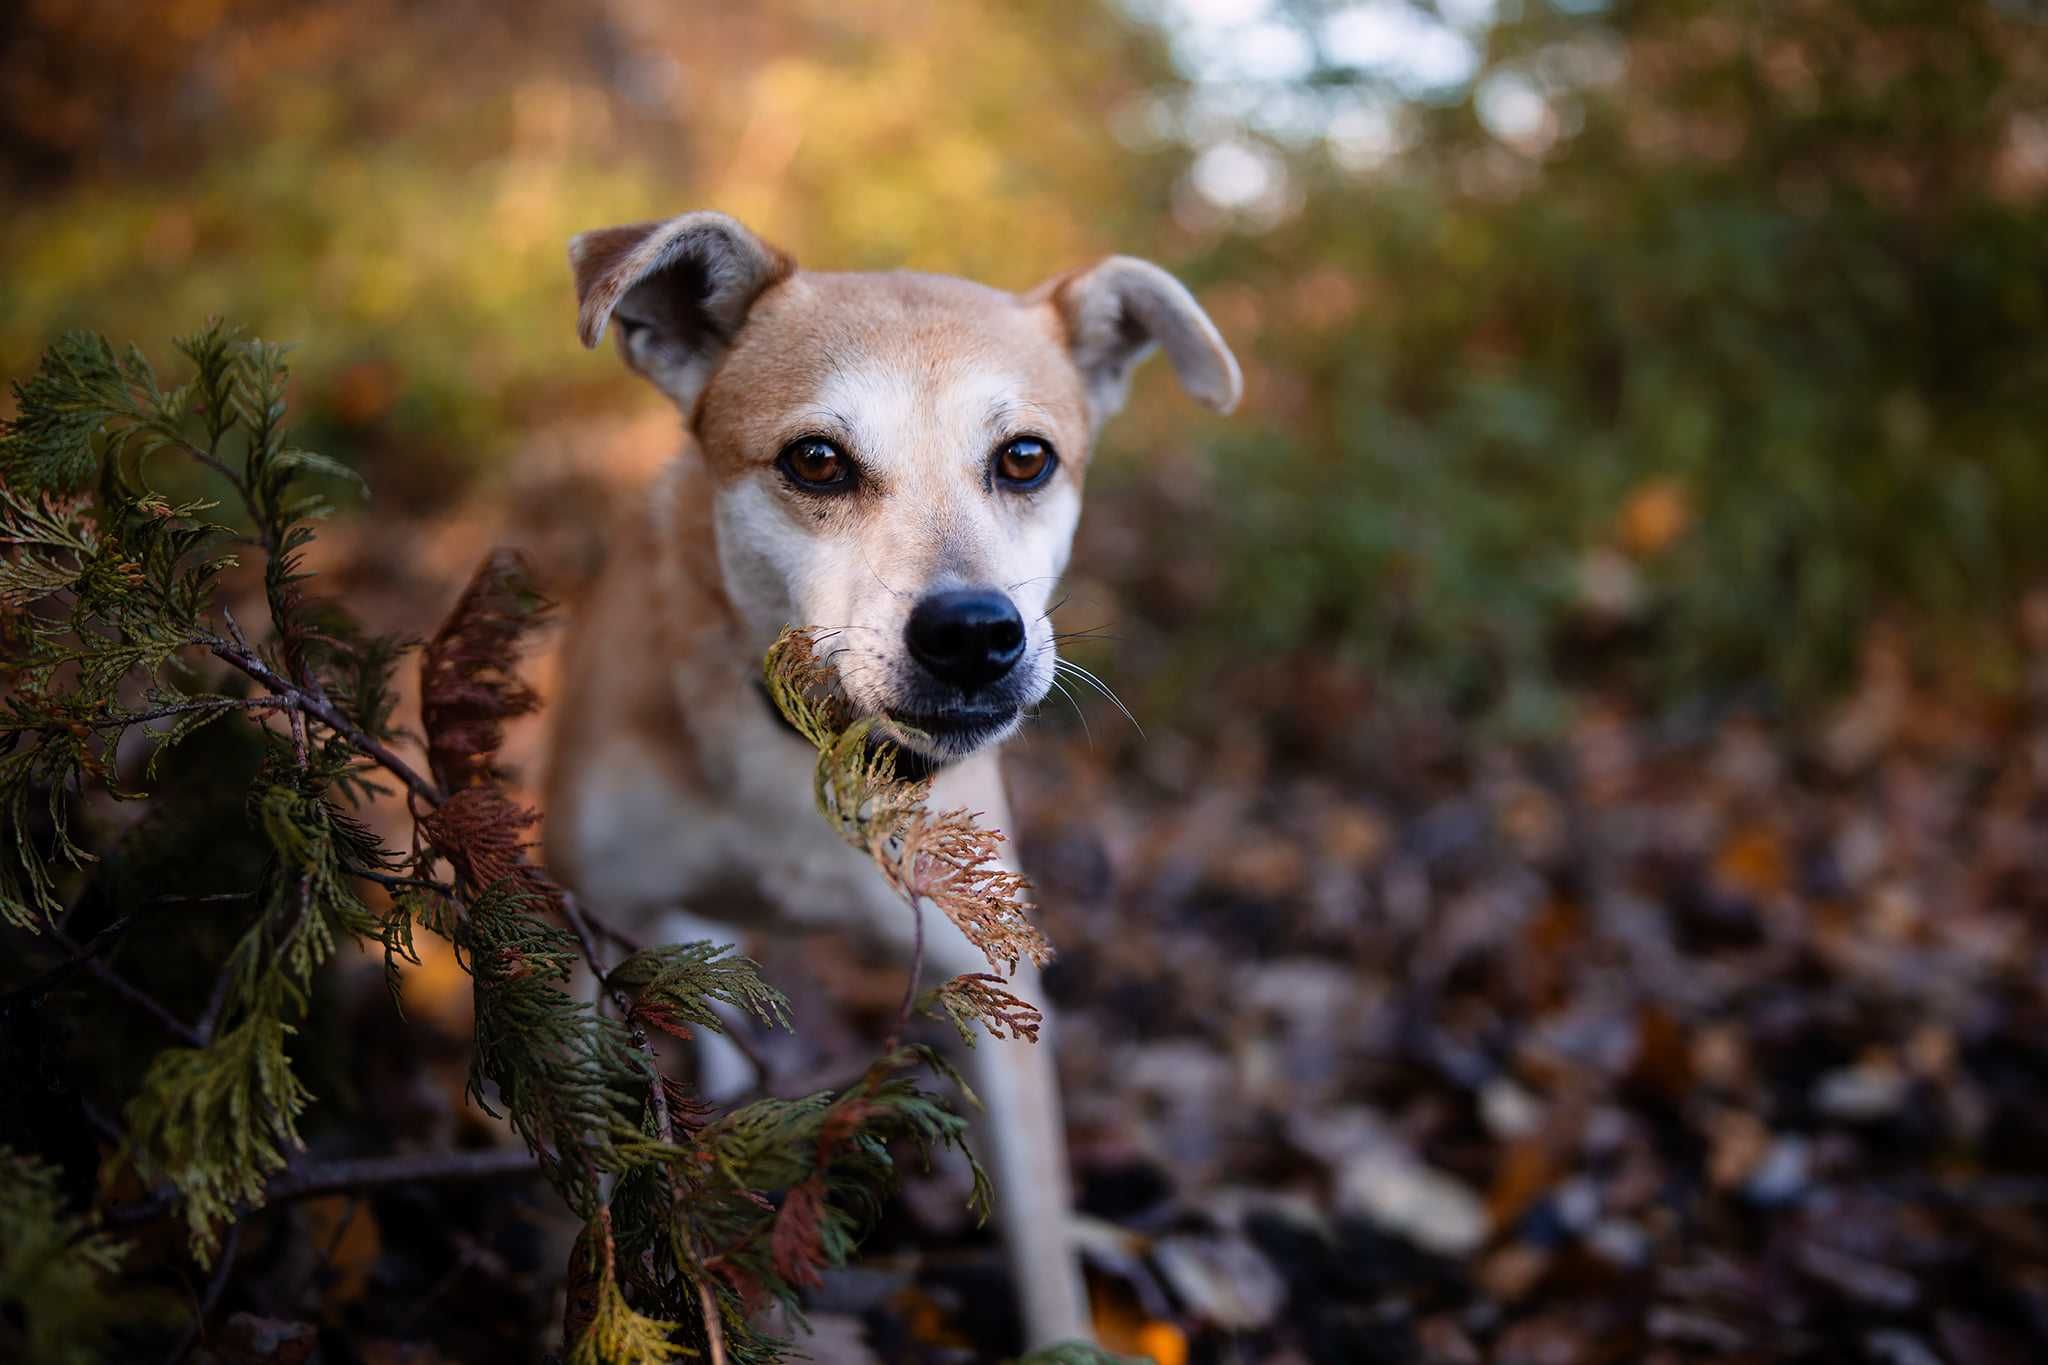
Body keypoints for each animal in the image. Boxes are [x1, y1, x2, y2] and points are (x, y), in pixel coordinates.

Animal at [544, 210, 1236, 1342]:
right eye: (817, 461)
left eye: (1026, 458)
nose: (972, 635)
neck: (796, 749)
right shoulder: (575, 933)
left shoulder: (994, 988)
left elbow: (1042, 1239)